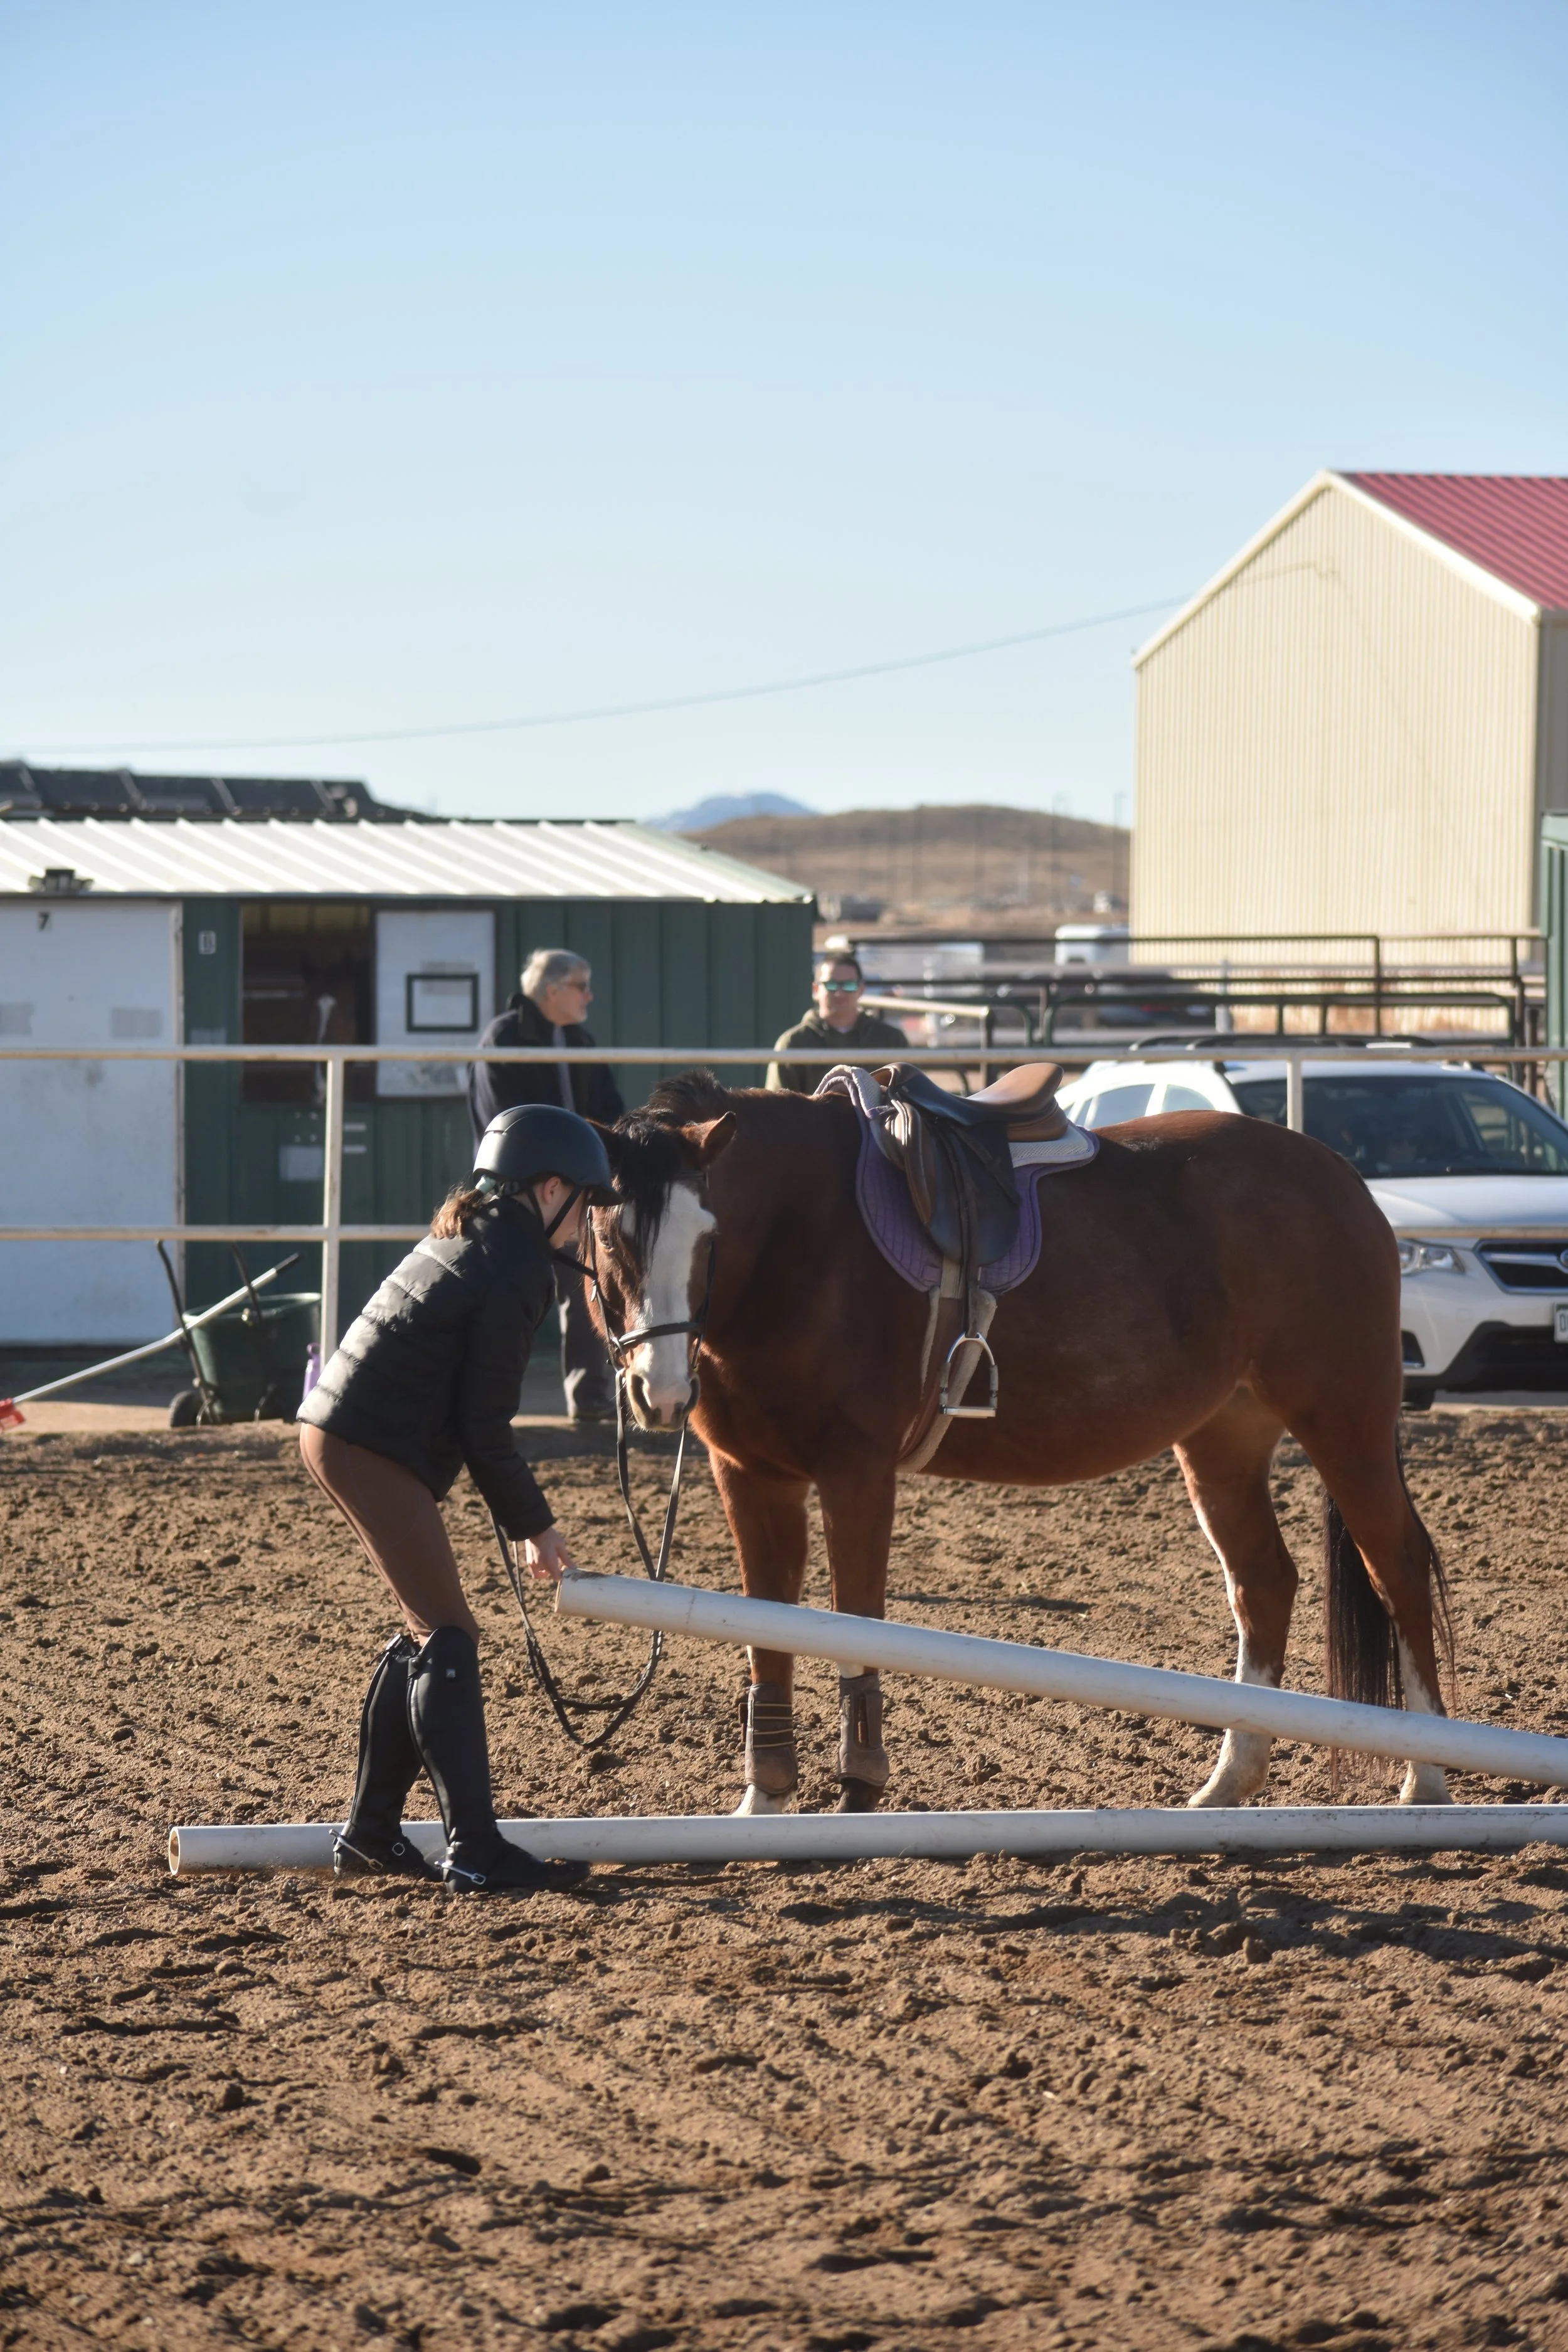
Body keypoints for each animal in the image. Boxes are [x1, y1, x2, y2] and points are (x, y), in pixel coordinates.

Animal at [586, 1071, 1452, 1818]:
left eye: (707, 1234)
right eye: (609, 1235)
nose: (660, 1391)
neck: (803, 1239)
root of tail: (1340, 1176)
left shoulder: (854, 1470)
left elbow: (854, 1620)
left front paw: (859, 1787)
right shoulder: (751, 1475)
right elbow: (768, 1636)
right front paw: (762, 1802)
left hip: (1344, 1420)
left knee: (1397, 1567)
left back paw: (1428, 1778)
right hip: (1223, 1440)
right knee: (1263, 1583)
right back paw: (1226, 1784)